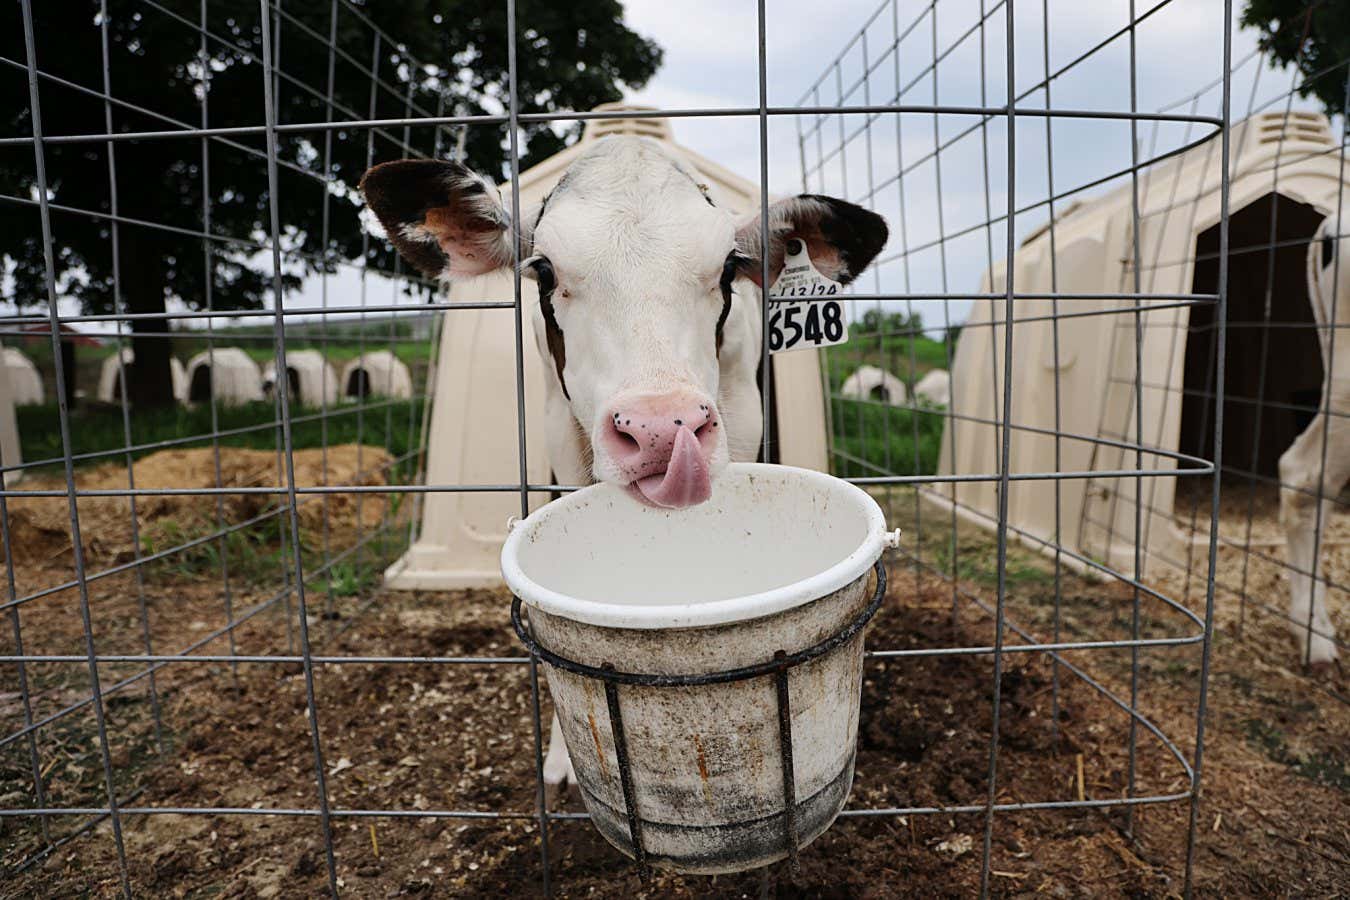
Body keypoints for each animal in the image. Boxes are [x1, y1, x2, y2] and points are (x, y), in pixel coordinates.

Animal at [359, 133, 891, 793]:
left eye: (728, 268)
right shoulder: (562, 434)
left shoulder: (743, 420)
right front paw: (562, 755)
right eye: (544, 269)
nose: (663, 430)